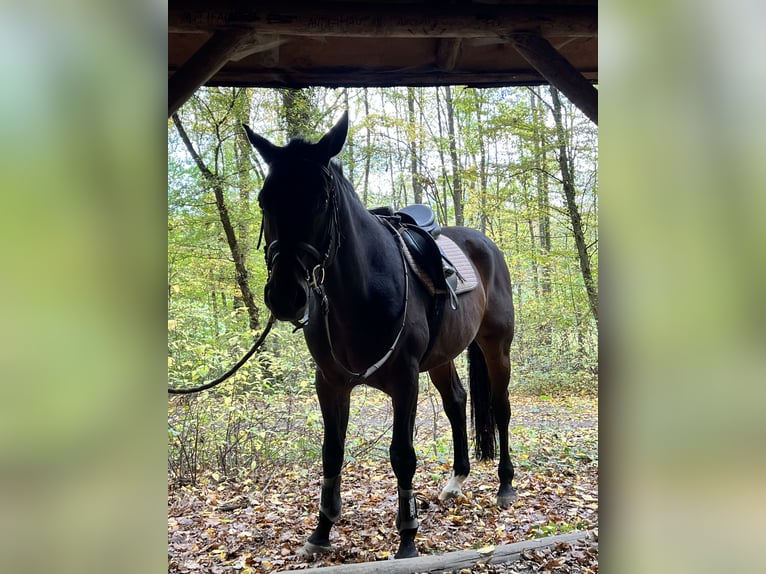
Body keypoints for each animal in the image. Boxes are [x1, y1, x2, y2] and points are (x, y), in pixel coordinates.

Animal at [243, 112, 516, 559]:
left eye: (321, 200)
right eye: (265, 199)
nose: (285, 296)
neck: (361, 291)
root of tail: (484, 243)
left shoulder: (405, 382)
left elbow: (402, 455)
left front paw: (407, 537)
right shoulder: (330, 383)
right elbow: (331, 453)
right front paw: (321, 531)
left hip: (496, 346)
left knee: (500, 407)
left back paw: (506, 485)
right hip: (442, 357)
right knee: (457, 402)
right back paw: (456, 480)